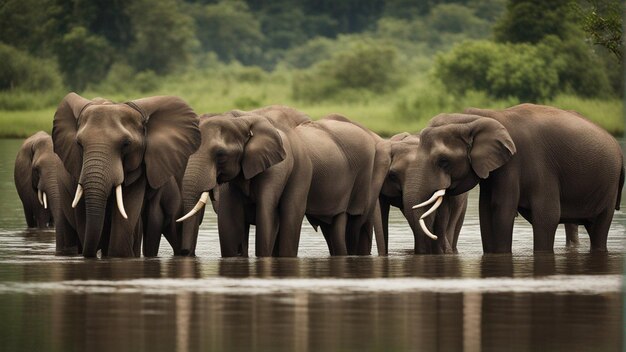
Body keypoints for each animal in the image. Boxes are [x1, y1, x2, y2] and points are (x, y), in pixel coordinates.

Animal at [178, 110, 388, 256]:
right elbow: (230, 219)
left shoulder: (278, 167)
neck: (243, 119)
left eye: (220, 154)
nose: (185, 252)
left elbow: (267, 212)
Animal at [410, 102, 620, 253]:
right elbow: (486, 210)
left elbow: (509, 209)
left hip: (610, 184)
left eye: (443, 161)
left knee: (600, 226)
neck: (478, 118)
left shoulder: (518, 162)